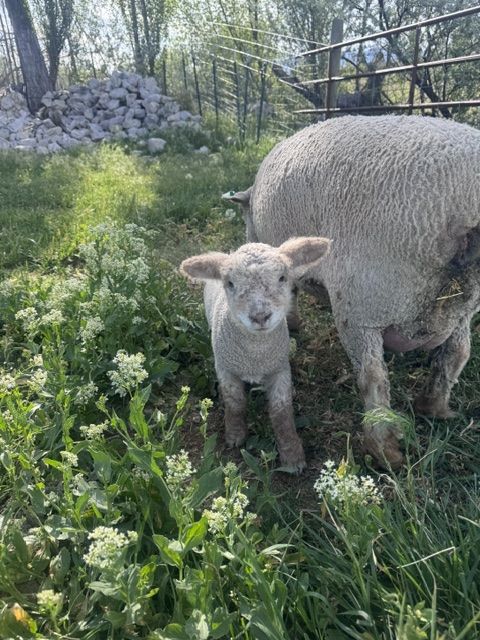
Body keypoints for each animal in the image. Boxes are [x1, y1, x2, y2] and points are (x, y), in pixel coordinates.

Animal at [180, 238, 330, 473]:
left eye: (282, 277)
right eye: (230, 283)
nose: (260, 316)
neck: (254, 356)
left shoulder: (279, 369)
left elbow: (281, 412)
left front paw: (292, 455)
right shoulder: (226, 369)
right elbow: (235, 403)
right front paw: (235, 435)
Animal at [227, 114, 480, 469]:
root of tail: (466, 206)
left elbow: (289, 292)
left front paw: (293, 324)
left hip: (363, 299)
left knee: (372, 376)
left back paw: (384, 449)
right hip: (462, 304)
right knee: (457, 353)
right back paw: (433, 408)